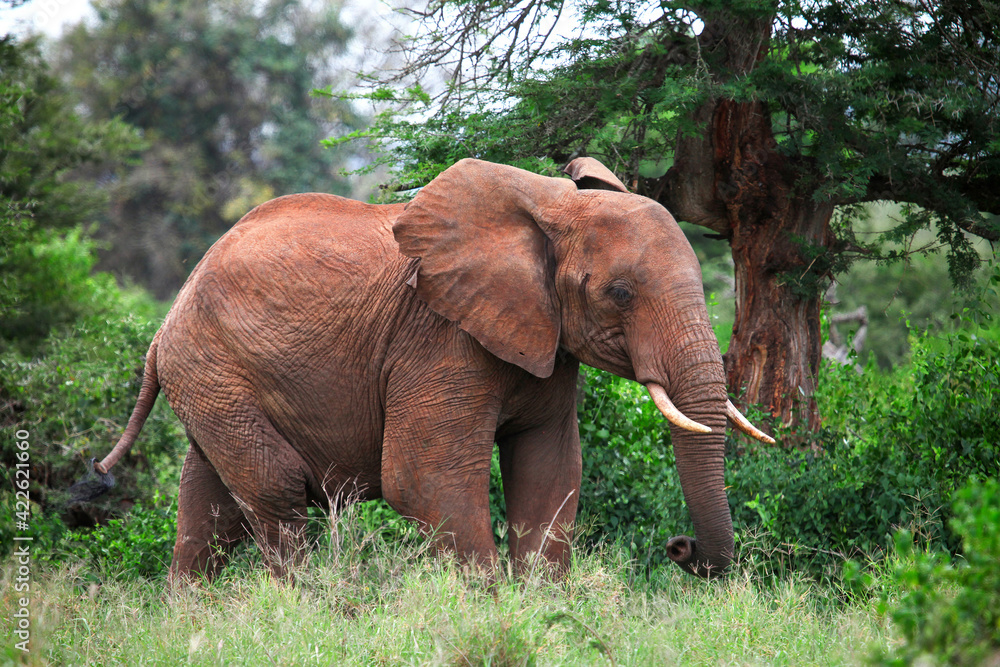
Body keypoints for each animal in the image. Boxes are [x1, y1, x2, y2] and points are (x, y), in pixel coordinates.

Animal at [92, 157, 773, 582]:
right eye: (621, 293)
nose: (679, 546)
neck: (548, 206)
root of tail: (164, 325)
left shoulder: (547, 343)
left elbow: (550, 474)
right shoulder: (439, 339)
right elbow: (425, 480)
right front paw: (493, 613)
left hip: (213, 383)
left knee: (209, 507)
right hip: (214, 371)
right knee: (276, 491)